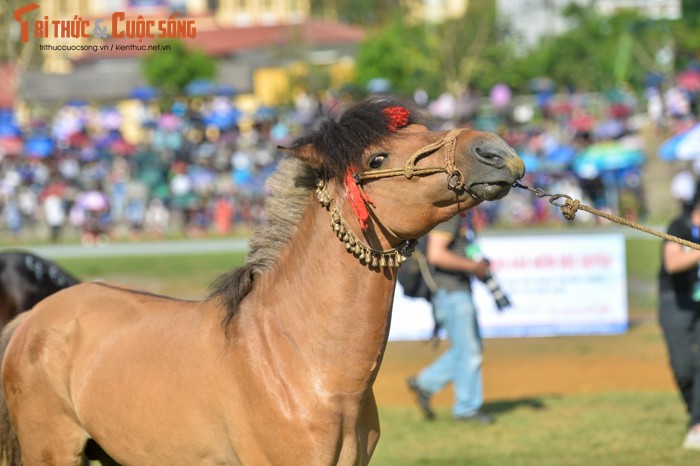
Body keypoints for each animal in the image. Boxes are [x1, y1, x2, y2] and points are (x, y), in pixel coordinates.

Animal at [0, 96, 524, 464]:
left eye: (419, 129)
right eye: (376, 159)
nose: (496, 152)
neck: (298, 364)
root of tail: (31, 321)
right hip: (53, 452)